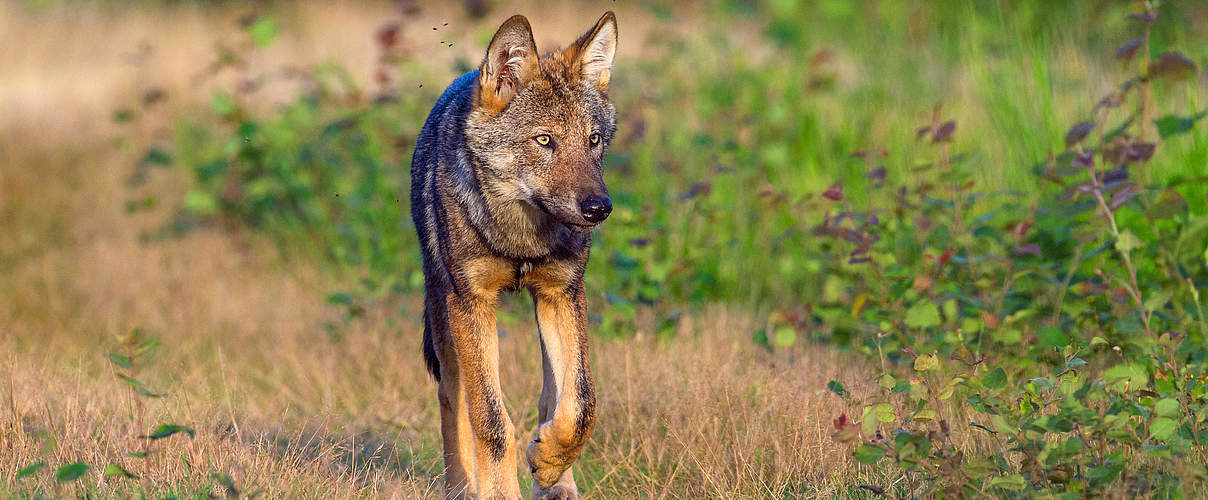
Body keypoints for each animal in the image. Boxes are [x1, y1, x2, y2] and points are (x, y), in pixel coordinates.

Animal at [408, 11, 618, 500]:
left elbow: (582, 404)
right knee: (453, 401)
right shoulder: (472, 302)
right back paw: (461, 487)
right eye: (544, 140)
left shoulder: (563, 292)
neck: (521, 238)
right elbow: (490, 419)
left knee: (552, 397)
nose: (599, 208)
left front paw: (549, 463)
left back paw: (557, 481)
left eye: (593, 140)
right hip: (444, 316)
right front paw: (499, 492)